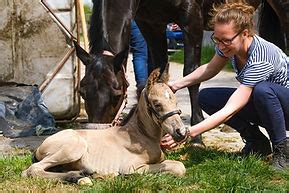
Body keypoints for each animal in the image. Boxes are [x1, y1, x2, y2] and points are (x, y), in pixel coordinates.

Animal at [23, 65, 189, 185]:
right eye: (157, 103)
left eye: (175, 101)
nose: (181, 132)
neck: (141, 135)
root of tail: (40, 146)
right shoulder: (132, 167)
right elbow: (179, 167)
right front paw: (125, 176)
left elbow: (177, 165)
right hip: (73, 149)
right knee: (33, 170)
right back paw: (83, 178)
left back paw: (85, 175)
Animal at [76, 0, 288, 134]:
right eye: (82, 92)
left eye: (117, 94)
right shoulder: (150, 24)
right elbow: (159, 68)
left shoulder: (191, 20)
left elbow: (191, 73)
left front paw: (197, 136)